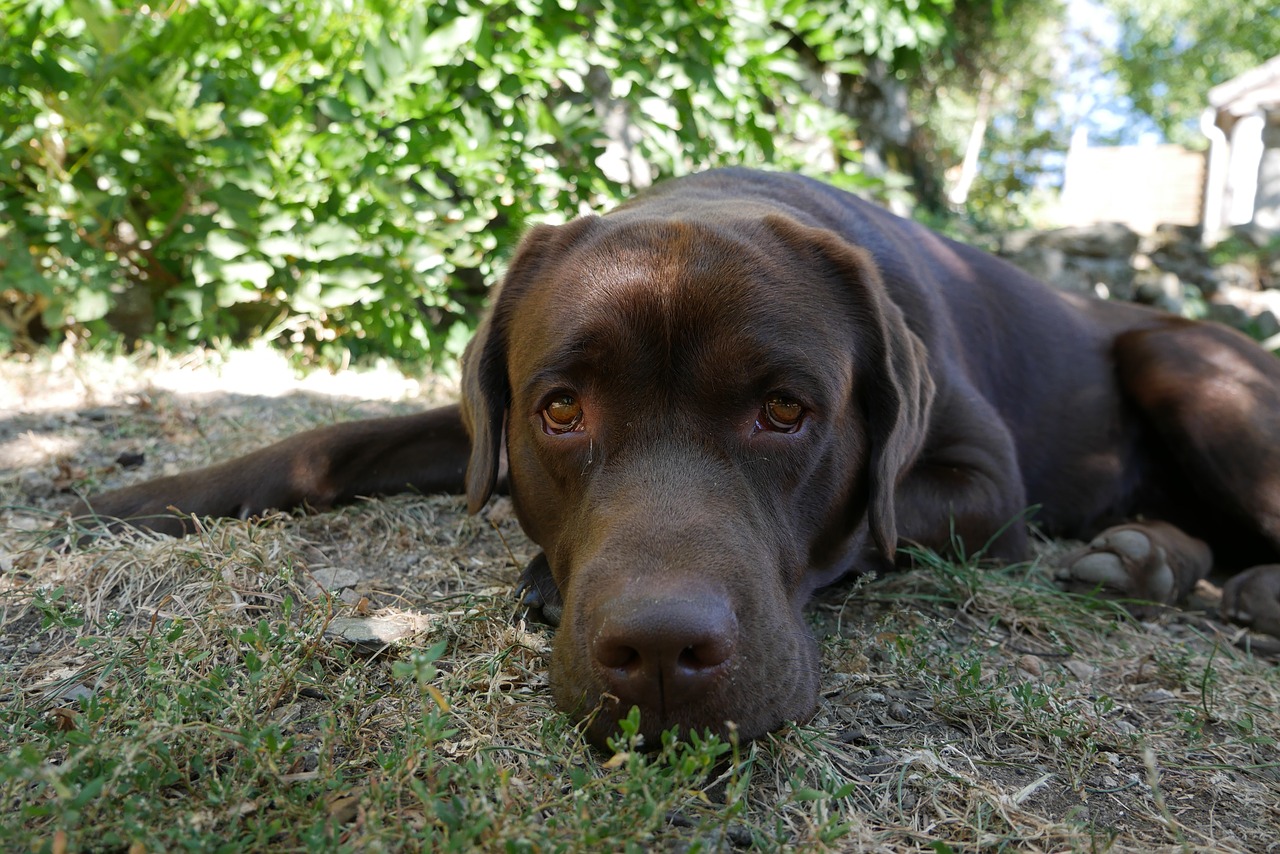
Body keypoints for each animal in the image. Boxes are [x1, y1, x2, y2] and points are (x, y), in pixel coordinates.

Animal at [67, 170, 1280, 742]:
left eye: (785, 411)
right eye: (560, 411)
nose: (656, 651)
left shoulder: (986, 486)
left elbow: (862, 522)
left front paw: (539, 576)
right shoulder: (485, 418)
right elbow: (337, 438)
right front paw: (149, 495)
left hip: (1184, 357)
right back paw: (1149, 560)